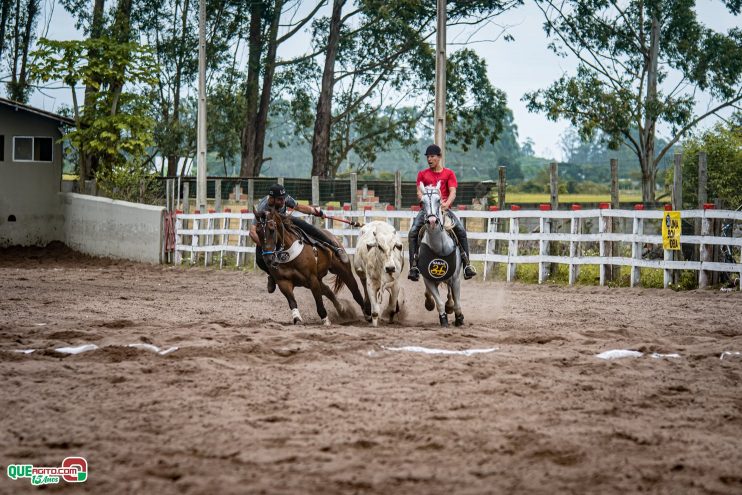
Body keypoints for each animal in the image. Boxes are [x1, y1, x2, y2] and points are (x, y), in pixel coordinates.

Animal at [418, 182, 464, 330]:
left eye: (439, 200)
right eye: (422, 202)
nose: (432, 221)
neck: (440, 247)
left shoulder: (456, 279)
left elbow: (457, 302)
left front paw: (459, 319)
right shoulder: (429, 279)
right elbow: (438, 302)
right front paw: (443, 319)